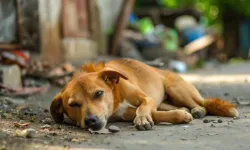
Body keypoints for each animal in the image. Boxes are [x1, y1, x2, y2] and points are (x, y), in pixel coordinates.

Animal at [50, 58, 238, 131]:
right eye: (73, 105)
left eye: (98, 93)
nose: (91, 121)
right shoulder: (125, 114)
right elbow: (156, 114)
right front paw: (179, 116)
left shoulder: (146, 99)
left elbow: (143, 108)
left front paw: (142, 119)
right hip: (165, 100)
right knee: (173, 106)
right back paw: (185, 110)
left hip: (176, 88)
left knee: (200, 104)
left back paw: (198, 110)